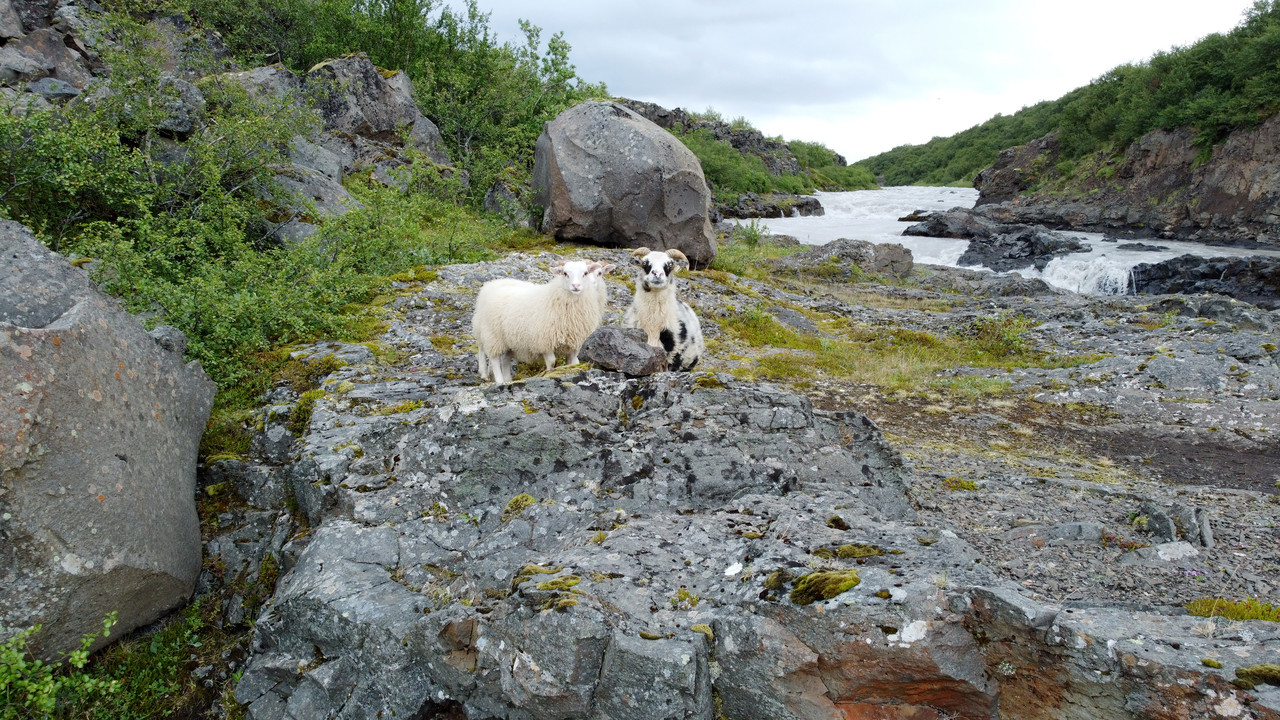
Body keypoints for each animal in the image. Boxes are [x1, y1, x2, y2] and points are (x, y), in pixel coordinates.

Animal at [473, 256, 611, 381]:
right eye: (565, 273)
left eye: (586, 273)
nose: (576, 286)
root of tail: (491, 284)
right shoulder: (545, 341)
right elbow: (552, 361)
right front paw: (550, 373)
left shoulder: (575, 343)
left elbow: (573, 362)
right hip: (491, 333)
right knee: (491, 355)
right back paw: (494, 378)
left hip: (509, 339)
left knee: (505, 360)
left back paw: (507, 380)